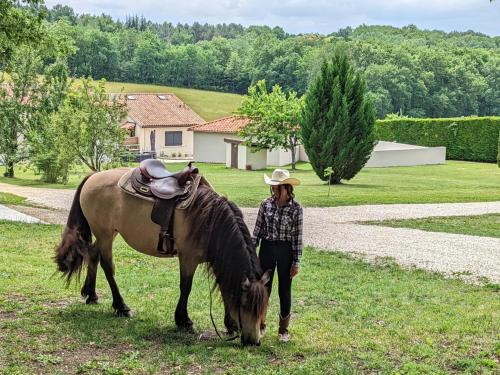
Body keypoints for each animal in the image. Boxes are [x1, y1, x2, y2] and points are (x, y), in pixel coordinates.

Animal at [54, 167, 270, 346]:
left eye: (264, 306)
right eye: (245, 305)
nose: (254, 341)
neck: (209, 219)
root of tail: (93, 176)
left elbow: (225, 288)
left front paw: (230, 324)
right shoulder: (188, 258)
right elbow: (186, 288)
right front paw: (184, 321)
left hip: (106, 234)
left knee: (93, 256)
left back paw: (91, 294)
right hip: (105, 235)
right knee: (108, 267)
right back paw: (121, 307)